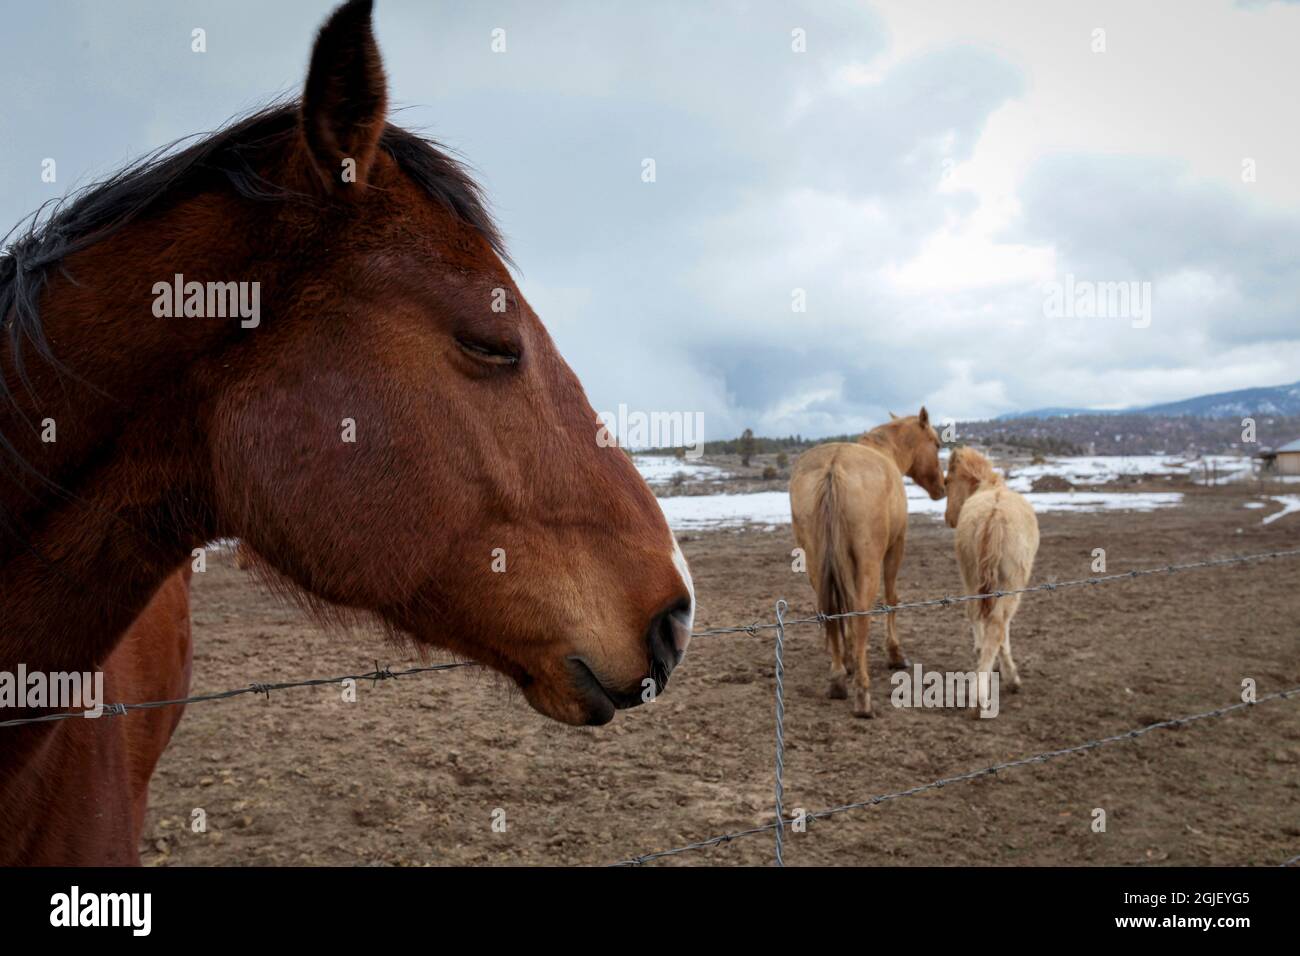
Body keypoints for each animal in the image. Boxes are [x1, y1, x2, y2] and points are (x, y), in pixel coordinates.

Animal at [789, 409, 944, 717]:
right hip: (870, 562)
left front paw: (850, 658)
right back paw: (862, 695)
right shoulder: (896, 547)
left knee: (831, 610)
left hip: (815, 563)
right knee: (861, 613)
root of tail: (834, 466)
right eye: (936, 444)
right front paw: (895, 654)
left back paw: (839, 679)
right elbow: (891, 598)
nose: (942, 487)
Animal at [943, 446, 1039, 701]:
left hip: (974, 577)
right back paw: (989, 689)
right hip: (1008, 585)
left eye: (946, 481)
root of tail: (994, 514)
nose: (948, 518)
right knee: (997, 624)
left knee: (981, 614)